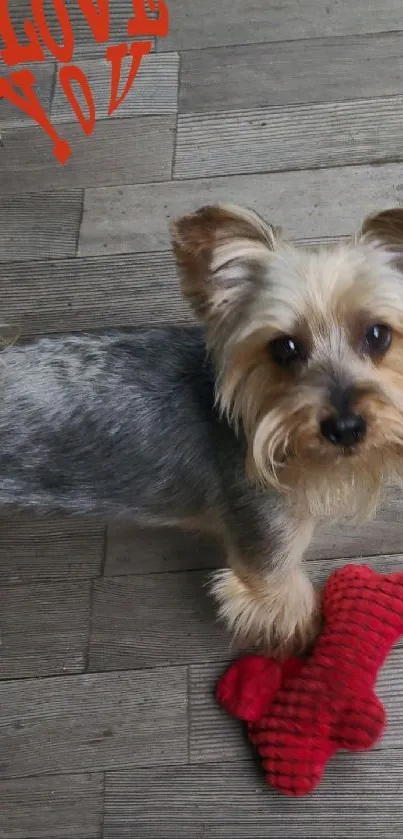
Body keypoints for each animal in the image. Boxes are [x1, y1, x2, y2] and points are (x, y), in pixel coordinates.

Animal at [0, 205, 403, 656]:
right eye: (284, 348)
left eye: (378, 335)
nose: (346, 428)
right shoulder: (265, 540)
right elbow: (283, 599)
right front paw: (306, 641)